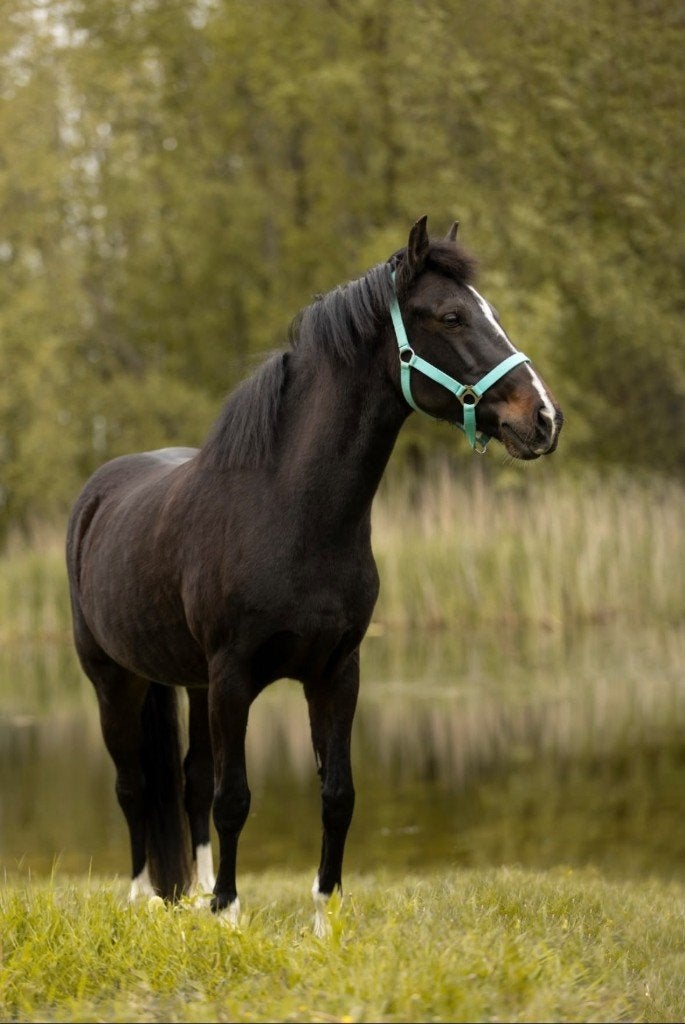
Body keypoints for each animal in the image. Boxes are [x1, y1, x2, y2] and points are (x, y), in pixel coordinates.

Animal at [66, 216, 562, 935]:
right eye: (451, 315)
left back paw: (192, 894)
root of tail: (98, 494)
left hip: (188, 682)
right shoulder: (233, 678)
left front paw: (321, 918)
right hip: (113, 679)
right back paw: (142, 899)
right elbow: (235, 798)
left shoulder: (336, 671)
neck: (291, 512)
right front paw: (229, 914)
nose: (543, 418)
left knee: (188, 780)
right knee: (133, 785)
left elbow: (336, 795)